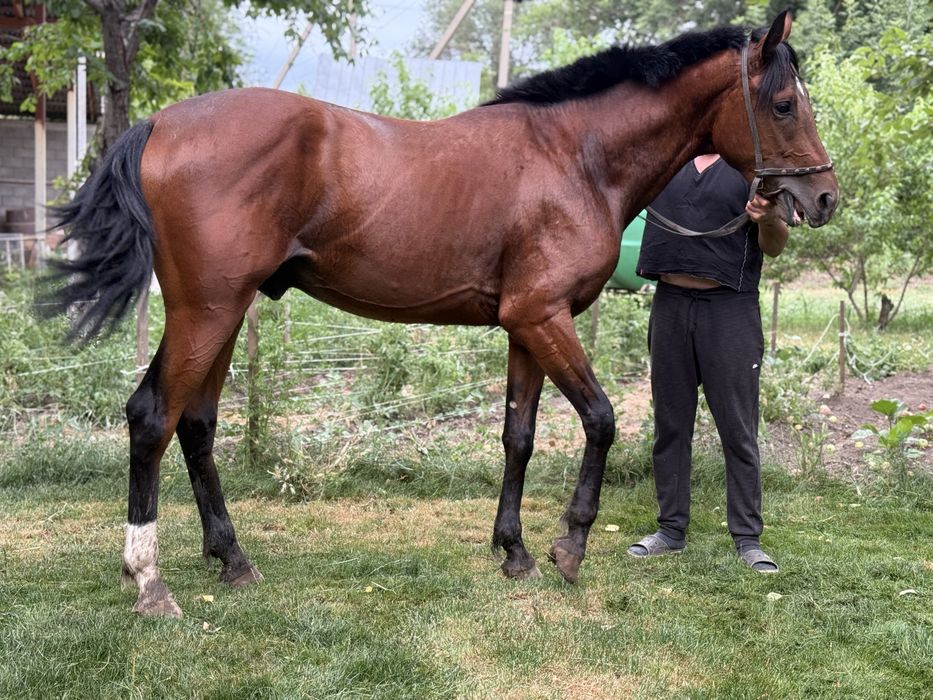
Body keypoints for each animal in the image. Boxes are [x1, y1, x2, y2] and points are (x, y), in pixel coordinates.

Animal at [46, 11, 836, 617]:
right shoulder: (545, 317)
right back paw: (150, 583)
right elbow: (601, 420)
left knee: (198, 425)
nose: (823, 198)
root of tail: (159, 123)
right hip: (206, 310)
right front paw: (568, 548)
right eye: (783, 104)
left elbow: (518, 436)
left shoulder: (526, 326)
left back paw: (232, 560)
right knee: (153, 417)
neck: (574, 155)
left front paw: (514, 550)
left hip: (227, 313)